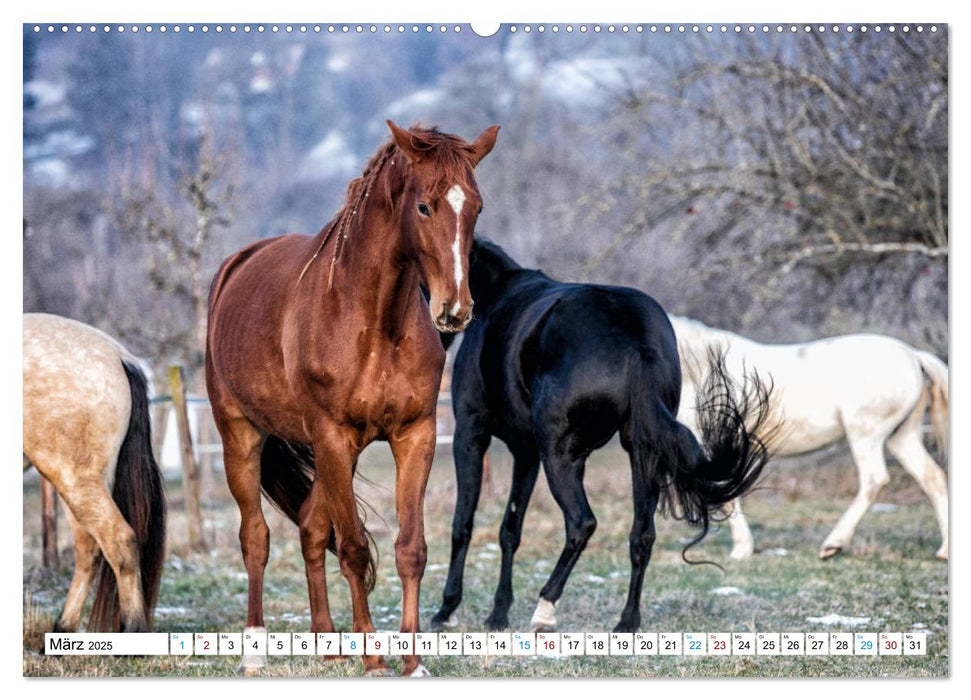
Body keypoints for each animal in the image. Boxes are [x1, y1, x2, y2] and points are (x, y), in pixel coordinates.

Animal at [203, 121, 494, 680]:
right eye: (424, 206)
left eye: (476, 206)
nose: (455, 309)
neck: (372, 321)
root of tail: (234, 267)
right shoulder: (332, 436)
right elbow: (356, 548)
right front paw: (375, 657)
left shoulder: (414, 436)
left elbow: (410, 549)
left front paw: (413, 662)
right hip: (242, 437)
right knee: (256, 538)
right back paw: (255, 649)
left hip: (331, 454)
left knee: (312, 529)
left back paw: (326, 642)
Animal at [430, 239, 780, 636]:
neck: (498, 294)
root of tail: (635, 340)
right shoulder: (526, 451)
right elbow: (510, 530)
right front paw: (498, 613)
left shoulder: (471, 436)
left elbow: (463, 523)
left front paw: (447, 609)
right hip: (641, 456)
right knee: (642, 535)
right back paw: (626, 621)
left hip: (558, 457)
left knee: (581, 523)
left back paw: (545, 609)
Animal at [668, 318, 948, 564]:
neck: (699, 368)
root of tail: (914, 355)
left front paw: (741, 551)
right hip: (902, 437)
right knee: (932, 478)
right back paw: (944, 551)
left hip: (865, 435)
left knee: (875, 480)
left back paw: (833, 544)